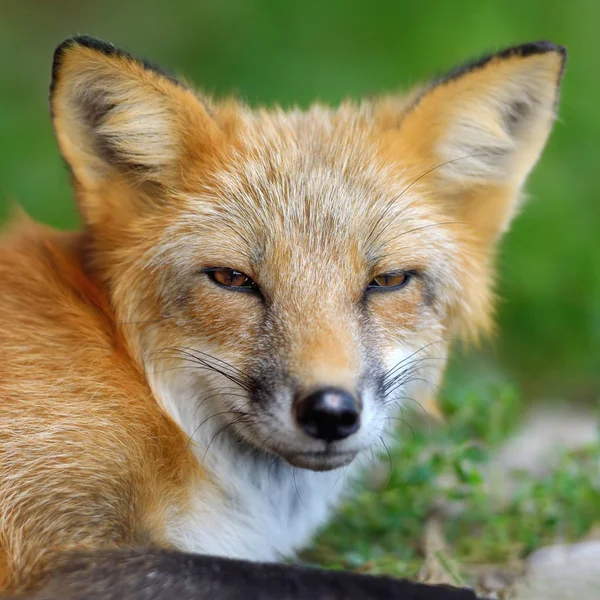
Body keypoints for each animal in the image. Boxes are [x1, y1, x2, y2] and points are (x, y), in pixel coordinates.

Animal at [0, 38, 564, 600]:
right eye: (231, 278)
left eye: (388, 280)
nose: (331, 412)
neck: (156, 396)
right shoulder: (55, 553)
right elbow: (333, 584)